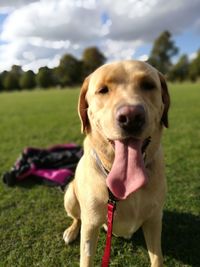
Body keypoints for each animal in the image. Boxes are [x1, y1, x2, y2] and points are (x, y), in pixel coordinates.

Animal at [63, 60, 170, 267]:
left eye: (148, 85)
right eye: (103, 90)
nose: (131, 117)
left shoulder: (154, 220)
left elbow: (157, 258)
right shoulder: (90, 227)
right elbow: (86, 258)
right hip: (70, 196)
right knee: (76, 218)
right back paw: (71, 231)